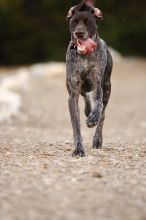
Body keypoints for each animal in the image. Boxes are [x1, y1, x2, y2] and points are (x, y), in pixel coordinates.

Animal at [66, 0, 113, 158]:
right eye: (74, 22)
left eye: (88, 22)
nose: (79, 32)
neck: (85, 54)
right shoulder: (73, 93)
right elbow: (76, 128)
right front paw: (79, 150)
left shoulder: (97, 85)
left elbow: (98, 105)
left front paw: (92, 118)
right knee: (85, 97)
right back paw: (88, 110)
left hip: (107, 87)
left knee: (103, 114)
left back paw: (97, 138)